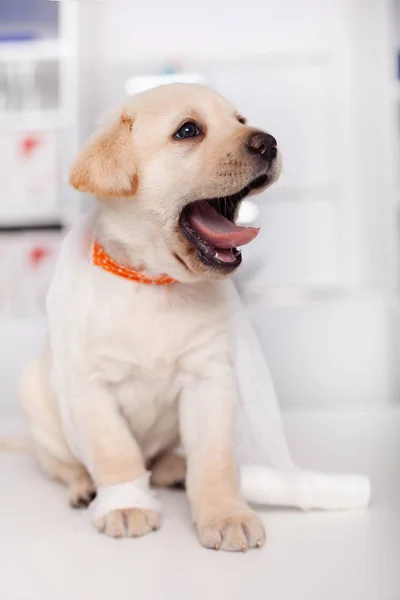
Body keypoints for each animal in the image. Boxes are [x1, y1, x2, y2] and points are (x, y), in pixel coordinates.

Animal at [19, 82, 282, 552]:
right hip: (38, 405)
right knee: (65, 465)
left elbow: (214, 459)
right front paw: (126, 505)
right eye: (188, 130)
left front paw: (225, 514)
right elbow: (116, 453)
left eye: (240, 120)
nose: (268, 142)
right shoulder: (91, 387)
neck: (155, 284)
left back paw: (172, 468)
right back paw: (84, 488)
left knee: (159, 458)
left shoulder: (208, 377)